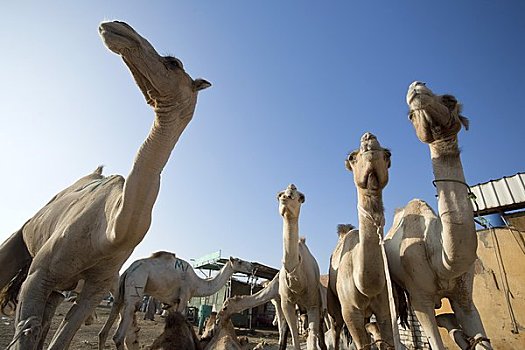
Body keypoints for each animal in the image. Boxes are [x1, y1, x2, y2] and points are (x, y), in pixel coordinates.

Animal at [0, 21, 209, 350]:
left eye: (174, 63)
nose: (119, 27)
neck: (109, 233)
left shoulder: (96, 287)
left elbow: (60, 337)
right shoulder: (37, 277)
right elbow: (27, 330)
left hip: (60, 287)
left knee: (47, 317)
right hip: (22, 235)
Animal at [98, 252, 254, 350]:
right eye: (239, 261)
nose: (252, 266)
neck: (197, 284)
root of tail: (128, 270)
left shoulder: (172, 303)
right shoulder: (184, 297)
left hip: (119, 295)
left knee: (104, 330)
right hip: (135, 288)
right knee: (119, 336)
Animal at [276, 185, 326, 348]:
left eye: (298, 196)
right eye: (281, 195)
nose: (285, 198)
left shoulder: (313, 304)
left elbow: (312, 339)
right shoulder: (286, 303)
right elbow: (293, 335)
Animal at [326, 133, 396, 348]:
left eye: (388, 154)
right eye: (352, 157)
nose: (368, 137)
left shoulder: (386, 308)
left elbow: (388, 342)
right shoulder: (350, 311)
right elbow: (361, 344)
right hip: (333, 305)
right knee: (335, 330)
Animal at [380, 80, 492, 348]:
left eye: (450, 99)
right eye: (410, 116)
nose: (415, 87)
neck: (442, 259)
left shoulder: (465, 295)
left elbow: (482, 339)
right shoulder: (419, 296)